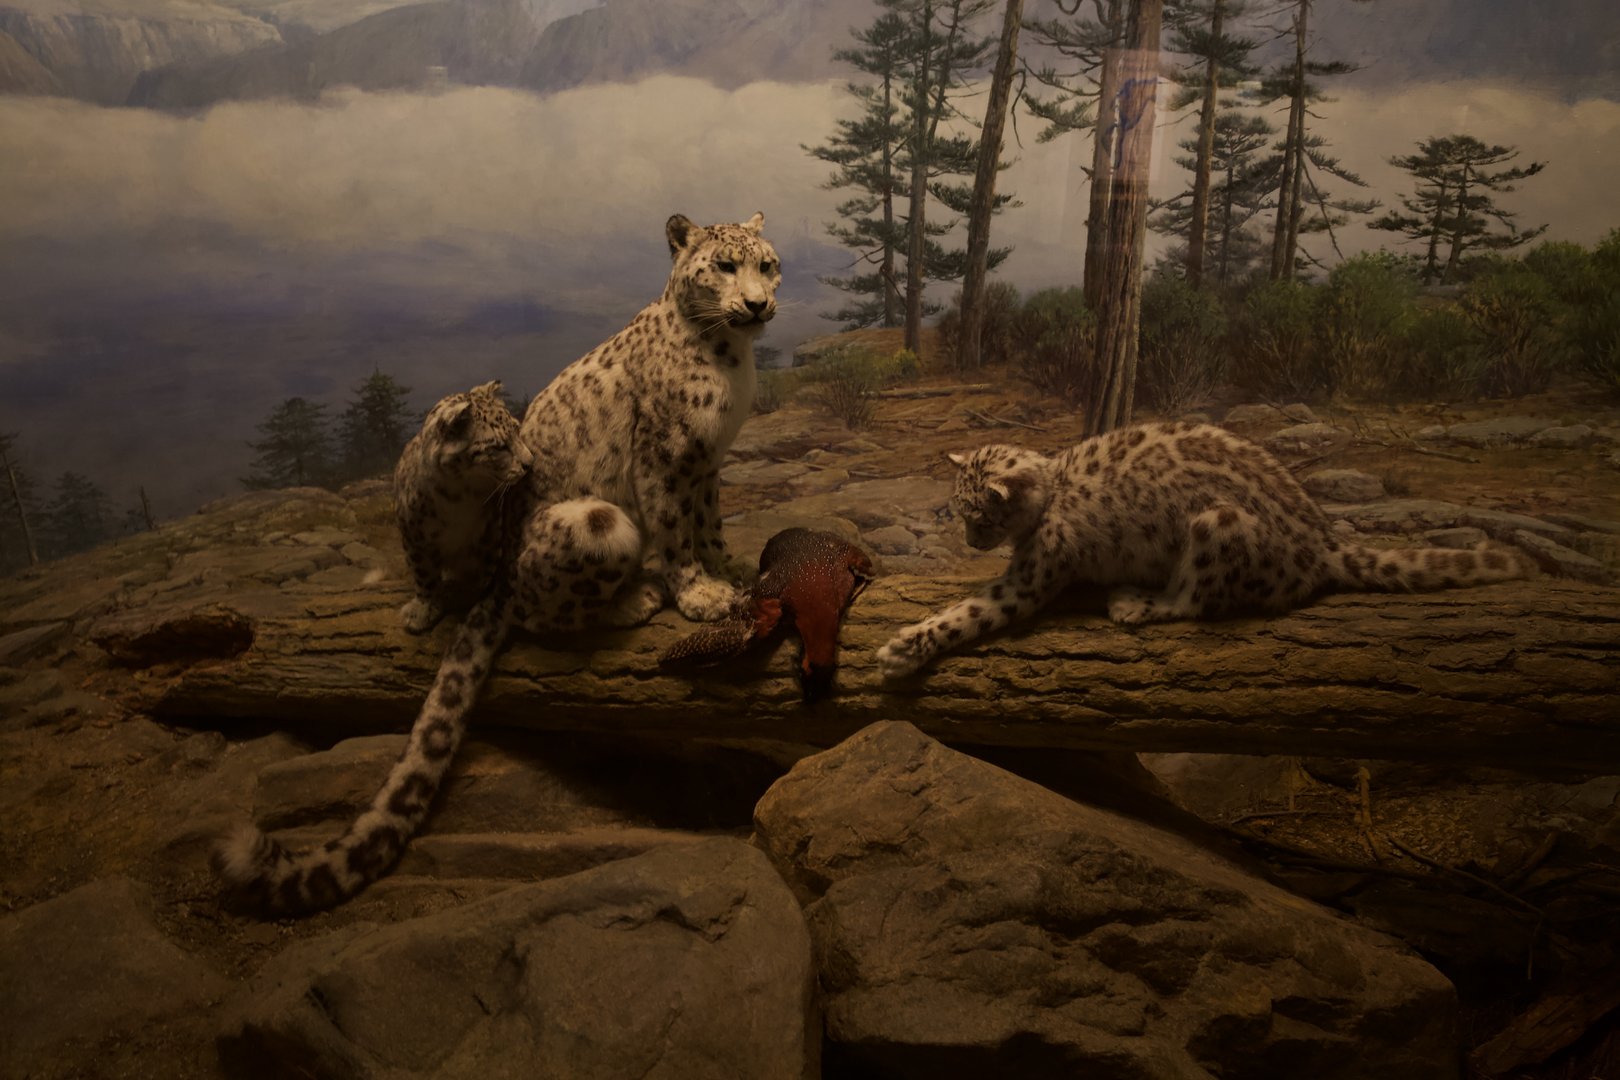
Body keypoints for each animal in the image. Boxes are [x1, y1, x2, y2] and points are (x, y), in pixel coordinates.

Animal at [394, 379, 532, 635]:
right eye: (498, 447)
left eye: (517, 429)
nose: (530, 463)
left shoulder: (489, 534)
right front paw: (422, 610)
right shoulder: (414, 534)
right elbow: (422, 573)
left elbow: (483, 570)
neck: (461, 498)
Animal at [877, 421, 1527, 678]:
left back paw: (1136, 602)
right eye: (957, 511)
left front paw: (905, 647)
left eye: (976, 516)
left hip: (1217, 526)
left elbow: (971, 611)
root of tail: (1324, 544)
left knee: (1195, 601)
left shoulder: (1031, 577)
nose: (968, 539)